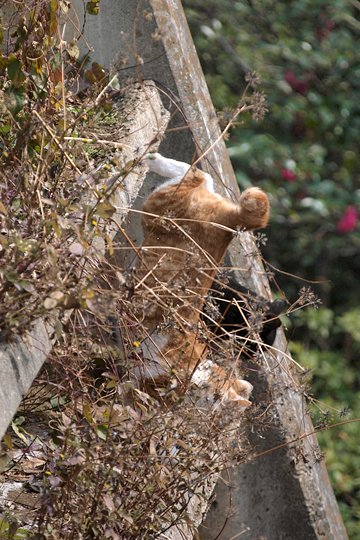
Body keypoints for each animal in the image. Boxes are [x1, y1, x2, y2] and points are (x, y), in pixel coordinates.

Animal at [134, 154, 268, 408]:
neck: (198, 372)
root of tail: (231, 224)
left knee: (199, 175)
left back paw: (154, 160)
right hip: (155, 211)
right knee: (196, 175)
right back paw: (152, 160)